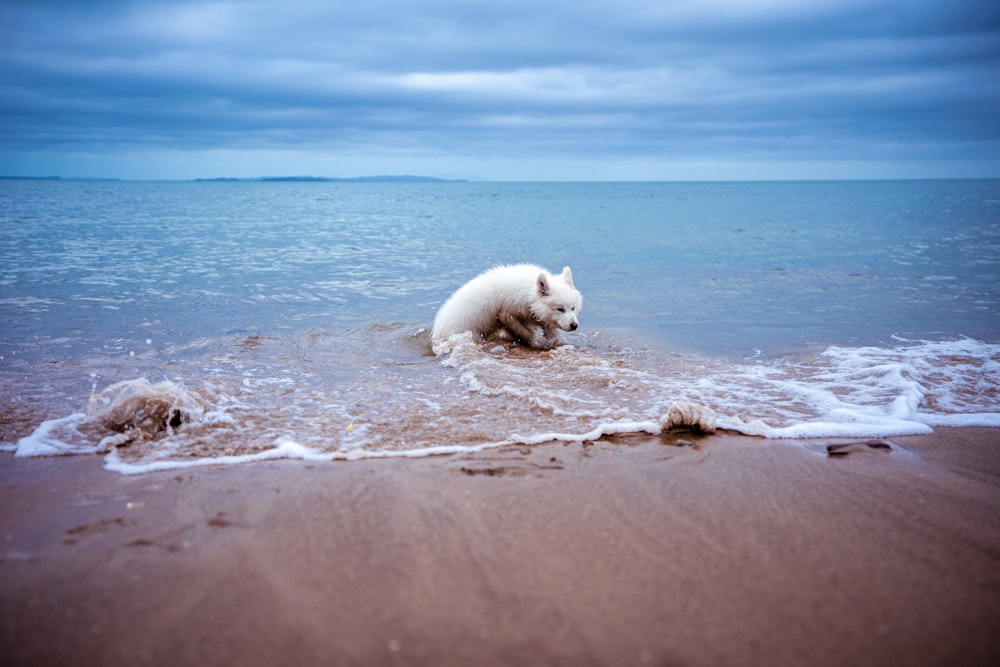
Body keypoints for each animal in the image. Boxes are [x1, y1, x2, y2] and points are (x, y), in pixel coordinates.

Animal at [432, 264, 584, 352]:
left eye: (573, 308)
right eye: (560, 309)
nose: (574, 325)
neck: (528, 294)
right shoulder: (506, 312)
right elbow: (522, 330)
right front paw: (533, 340)